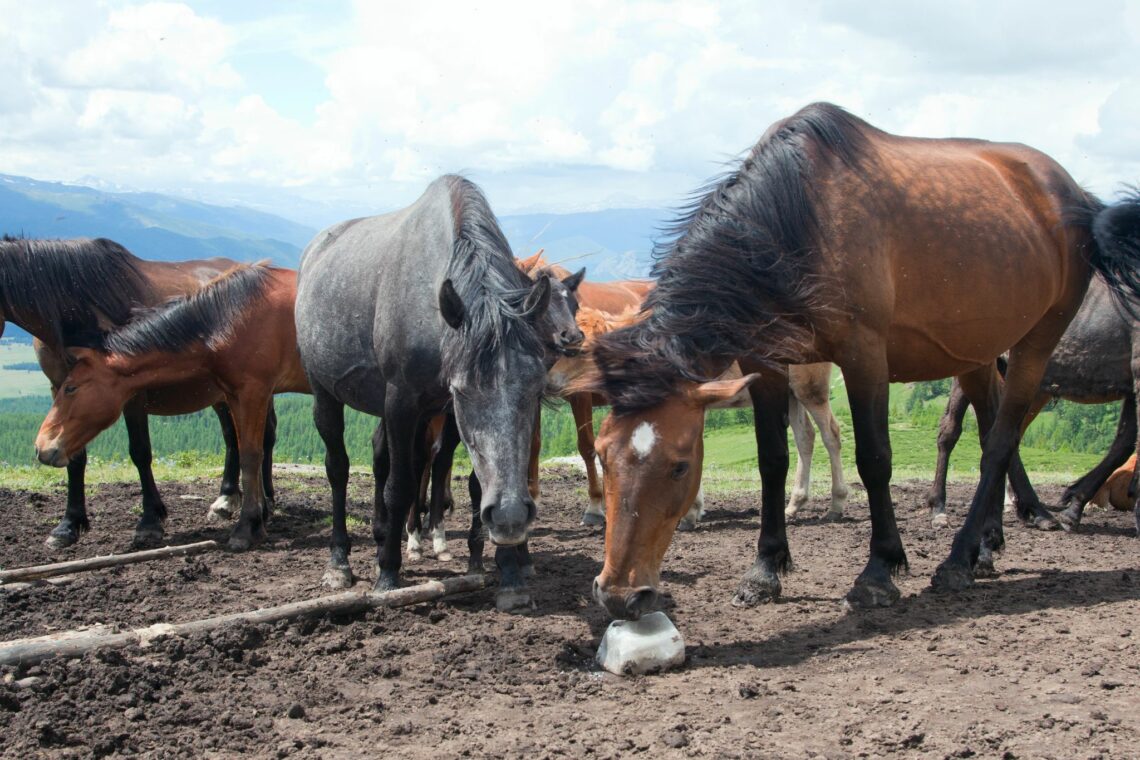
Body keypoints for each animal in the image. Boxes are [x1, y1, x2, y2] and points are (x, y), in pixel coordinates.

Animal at [0, 235, 254, 548]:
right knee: (232, 436)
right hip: (217, 393)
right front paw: (69, 525)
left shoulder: (132, 393)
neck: (76, 309)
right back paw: (226, 498)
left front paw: (150, 522)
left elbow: (140, 452)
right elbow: (75, 456)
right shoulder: (60, 388)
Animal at [34, 263, 307, 550]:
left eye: (70, 388)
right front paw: (257, 523)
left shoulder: (253, 392)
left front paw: (245, 528)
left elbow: (251, 457)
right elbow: (246, 452)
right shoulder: (235, 395)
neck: (233, 315)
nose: (42, 446)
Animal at [295, 175, 577, 609]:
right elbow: (400, 485)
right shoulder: (402, 403)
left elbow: (476, 483)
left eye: (534, 388)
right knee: (338, 468)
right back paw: (340, 562)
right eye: (463, 390)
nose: (510, 516)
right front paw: (388, 574)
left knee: (380, 457)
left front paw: (509, 575)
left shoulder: (445, 417)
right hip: (323, 391)